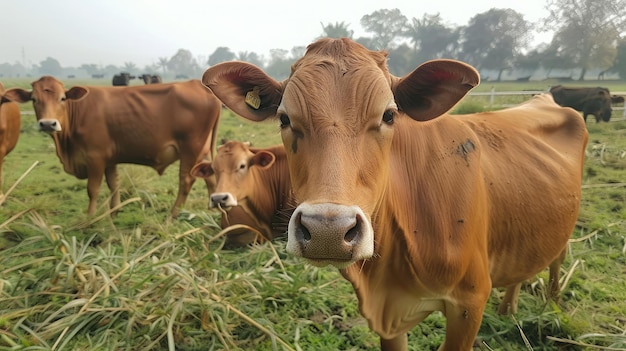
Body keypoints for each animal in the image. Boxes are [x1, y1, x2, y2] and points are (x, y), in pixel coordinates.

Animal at [4, 75, 219, 216]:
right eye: (34, 99)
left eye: (62, 98)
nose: (48, 124)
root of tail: (200, 86)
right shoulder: (109, 158)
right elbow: (114, 184)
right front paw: (114, 211)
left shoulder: (95, 157)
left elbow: (93, 189)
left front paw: (90, 217)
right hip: (202, 151)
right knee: (210, 176)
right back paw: (216, 210)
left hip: (190, 149)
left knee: (186, 181)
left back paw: (173, 215)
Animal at [202, 38, 588, 351]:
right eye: (283, 119)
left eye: (389, 115)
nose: (328, 231)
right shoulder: (387, 316)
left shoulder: (470, 301)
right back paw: (508, 309)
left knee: (558, 255)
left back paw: (553, 301)